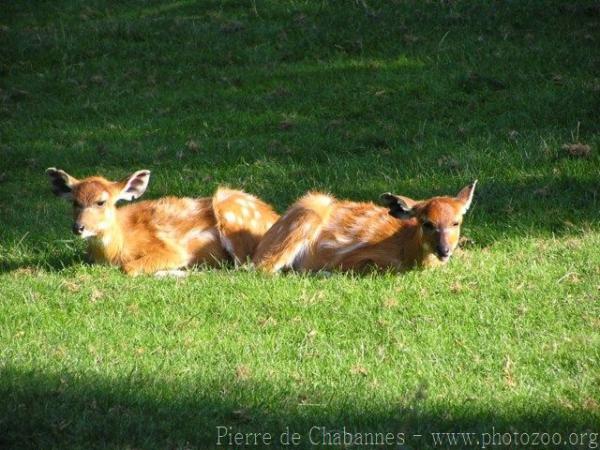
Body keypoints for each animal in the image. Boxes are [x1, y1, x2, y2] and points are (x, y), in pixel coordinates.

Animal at [47, 168, 282, 276]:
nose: (78, 227)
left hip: (228, 207)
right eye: (75, 202)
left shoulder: (171, 249)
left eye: (101, 202)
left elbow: (128, 268)